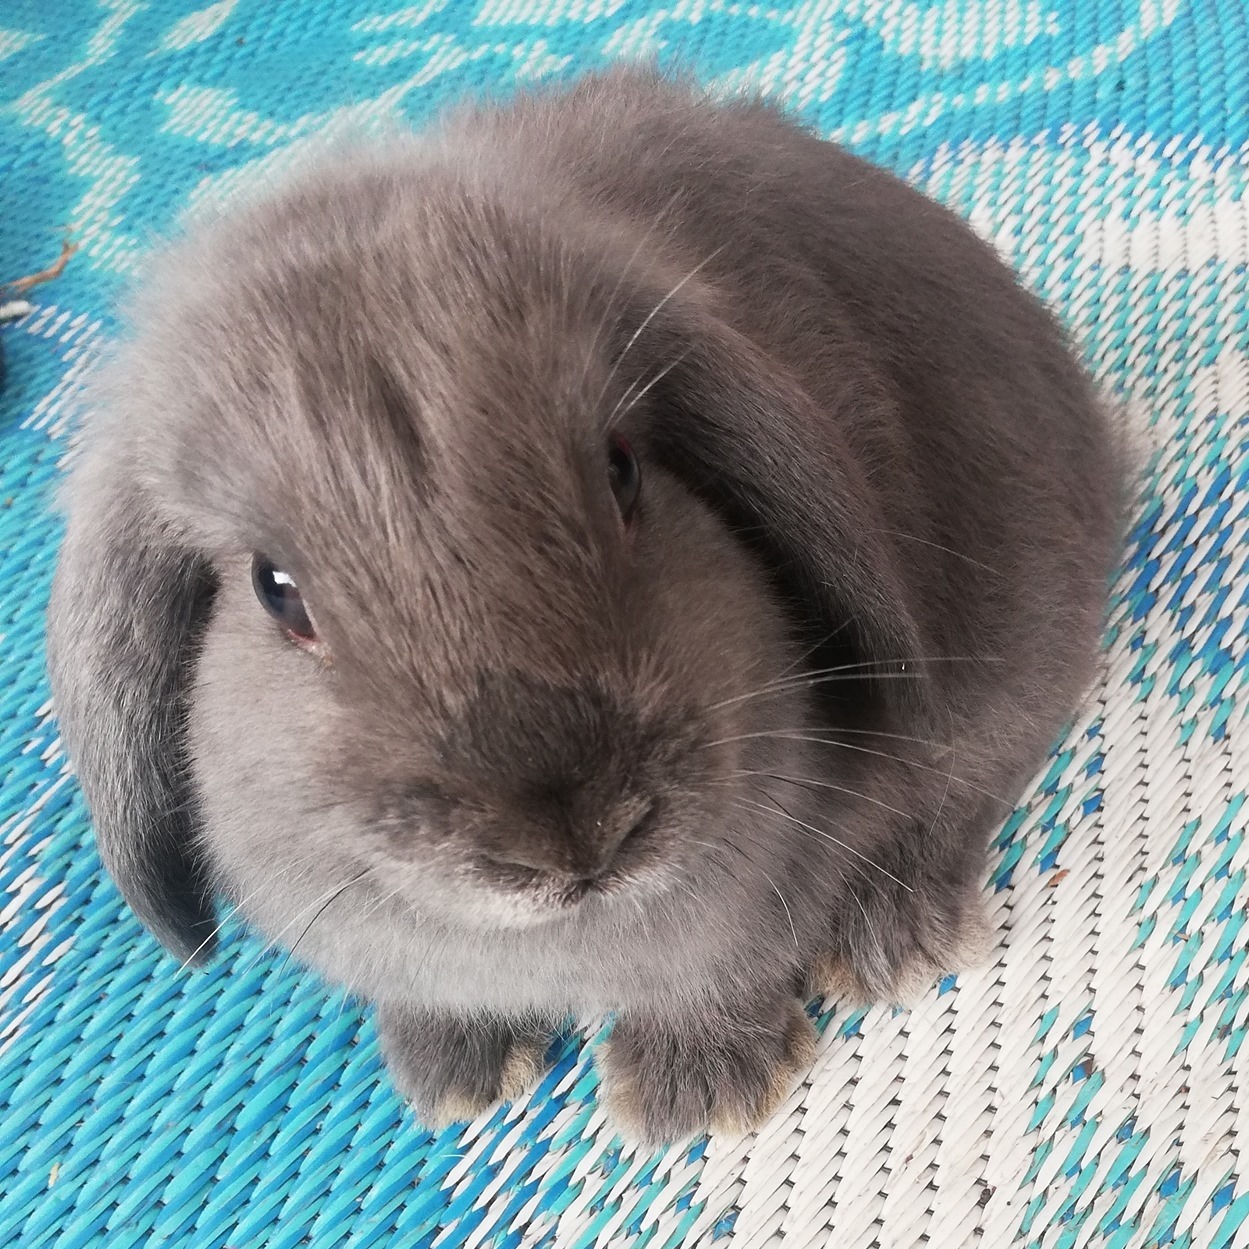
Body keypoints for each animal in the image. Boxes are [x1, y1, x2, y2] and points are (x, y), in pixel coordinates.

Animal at [45, 66, 1125, 1144]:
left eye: (622, 470)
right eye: (276, 590)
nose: (573, 835)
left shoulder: (761, 896)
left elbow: (721, 973)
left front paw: (695, 1093)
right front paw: (455, 1073)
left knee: (962, 788)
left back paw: (890, 942)